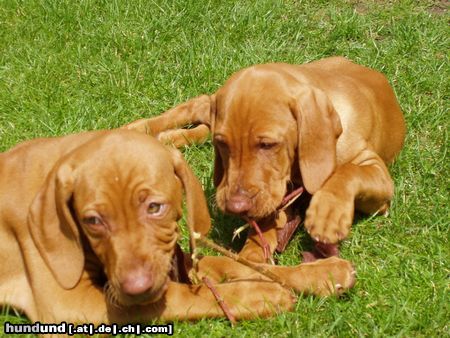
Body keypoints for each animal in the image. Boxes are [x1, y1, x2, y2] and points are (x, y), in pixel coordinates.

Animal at [1, 129, 356, 328]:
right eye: (92, 221)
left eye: (154, 207)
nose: (136, 288)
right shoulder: (70, 304)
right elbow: (180, 295)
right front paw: (257, 295)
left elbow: (238, 263)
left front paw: (321, 274)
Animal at [125, 56, 406, 264]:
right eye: (222, 144)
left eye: (268, 144)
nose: (235, 207)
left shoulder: (377, 181)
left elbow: (348, 172)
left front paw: (328, 213)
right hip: (211, 107)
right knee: (198, 103)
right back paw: (139, 129)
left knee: (201, 124)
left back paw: (168, 138)